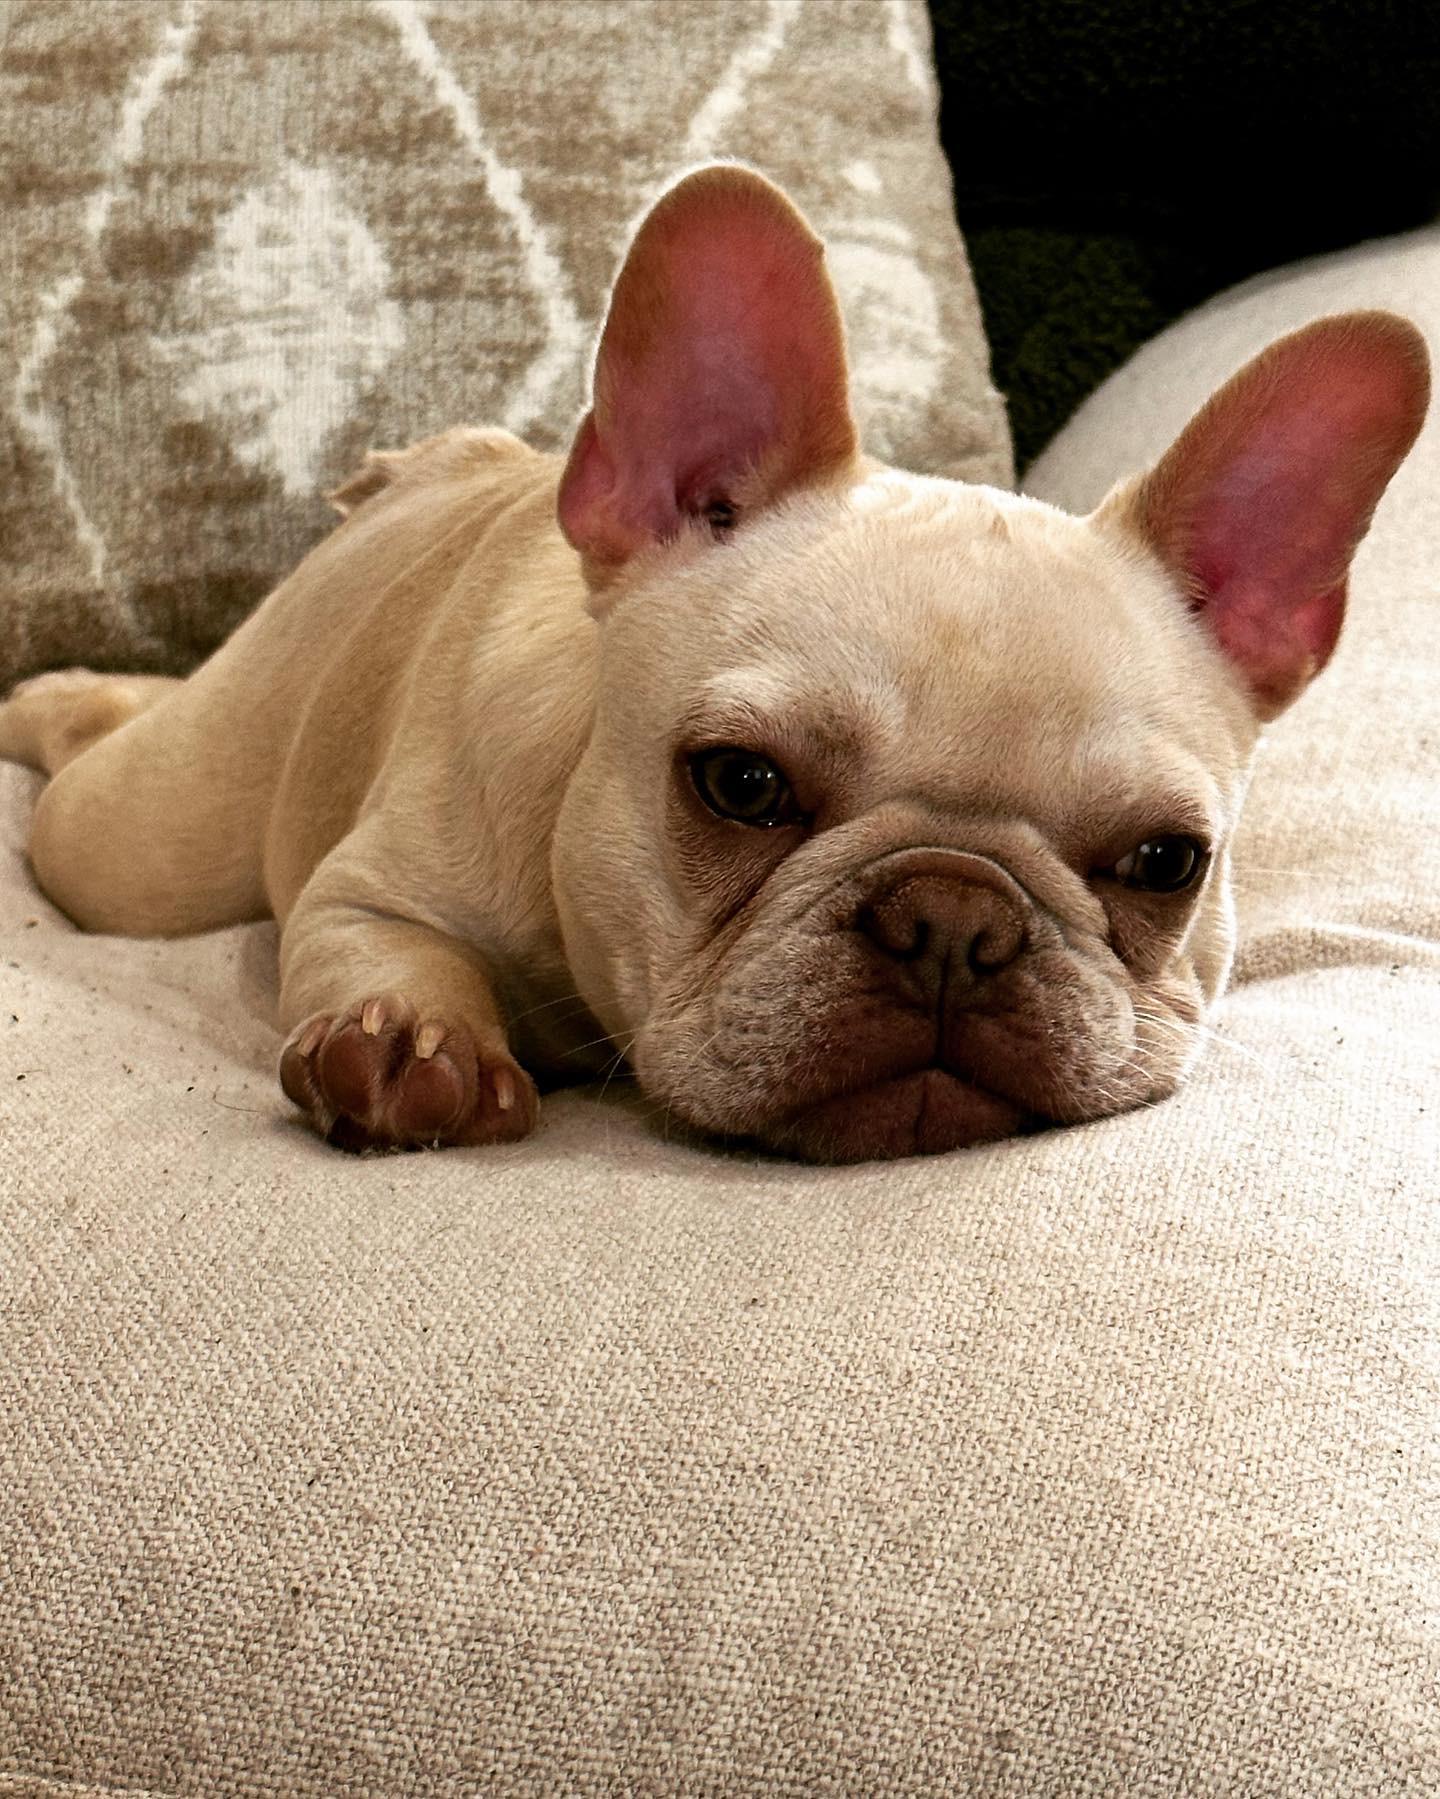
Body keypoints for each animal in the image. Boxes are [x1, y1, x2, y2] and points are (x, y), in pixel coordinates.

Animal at [0, 166, 1428, 1161]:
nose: (955, 920)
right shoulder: (367, 891)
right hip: (151, 833)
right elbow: (383, 950)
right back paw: (62, 696)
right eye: (740, 783)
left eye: (1166, 863)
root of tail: (448, 466)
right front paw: (411, 1039)